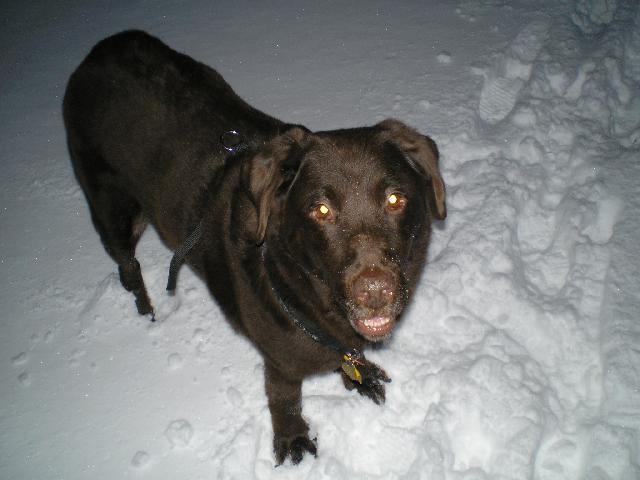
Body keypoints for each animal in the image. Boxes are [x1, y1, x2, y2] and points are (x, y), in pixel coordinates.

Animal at [63, 30, 444, 464]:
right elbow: (284, 397)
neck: (302, 289)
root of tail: (102, 47)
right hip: (112, 207)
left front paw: (360, 377)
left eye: (395, 200)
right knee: (127, 263)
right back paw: (146, 309)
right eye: (321, 209)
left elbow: (348, 357)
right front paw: (293, 438)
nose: (375, 292)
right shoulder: (280, 360)